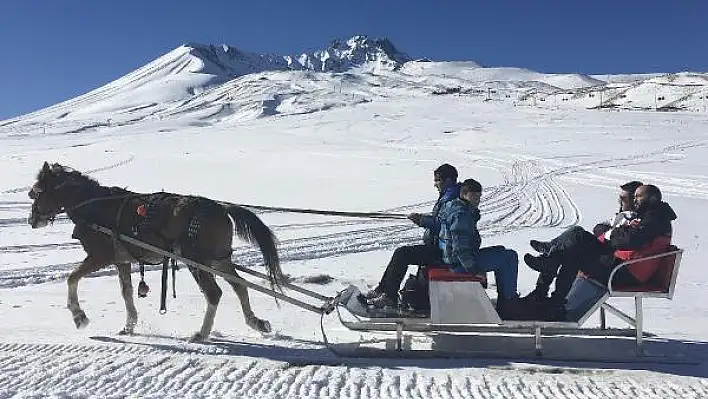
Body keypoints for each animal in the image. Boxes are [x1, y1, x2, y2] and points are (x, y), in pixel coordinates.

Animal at [28, 161, 282, 342]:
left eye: (37, 192)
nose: (31, 220)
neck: (95, 206)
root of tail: (221, 207)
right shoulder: (122, 261)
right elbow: (127, 292)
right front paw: (129, 325)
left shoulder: (100, 256)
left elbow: (72, 278)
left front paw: (79, 316)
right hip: (219, 260)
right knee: (240, 286)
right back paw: (256, 322)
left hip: (195, 260)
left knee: (214, 293)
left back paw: (202, 333)